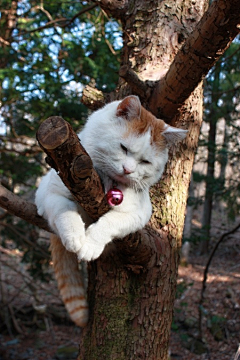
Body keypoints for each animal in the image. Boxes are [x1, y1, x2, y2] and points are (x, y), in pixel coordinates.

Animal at [35, 95, 188, 326]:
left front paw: (90, 245)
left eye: (145, 161)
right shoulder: (49, 192)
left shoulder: (139, 214)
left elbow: (109, 223)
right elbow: (66, 213)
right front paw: (75, 237)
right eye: (123, 148)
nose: (128, 170)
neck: (108, 181)